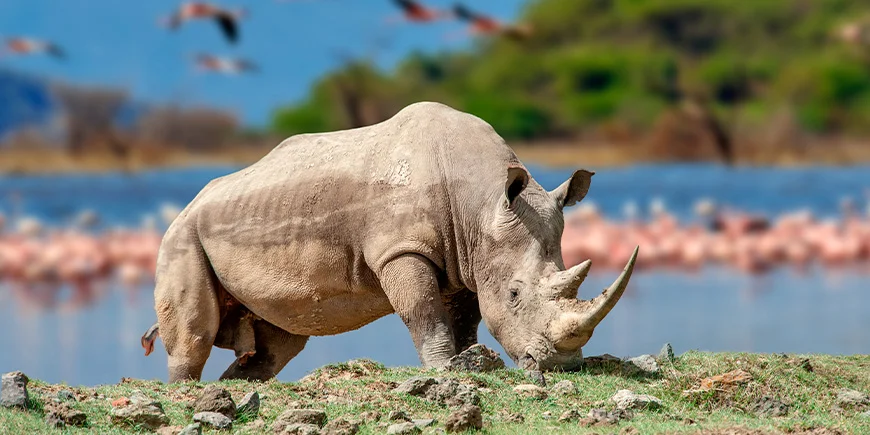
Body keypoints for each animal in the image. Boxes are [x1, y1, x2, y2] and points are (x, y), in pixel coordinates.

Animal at [141, 102, 638, 382]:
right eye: (515, 294)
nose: (560, 366)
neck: (481, 203)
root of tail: (190, 203)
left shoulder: (469, 261)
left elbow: (465, 319)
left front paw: (468, 361)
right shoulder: (400, 249)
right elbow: (424, 314)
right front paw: (443, 371)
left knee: (278, 344)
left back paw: (238, 386)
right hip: (181, 236)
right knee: (195, 335)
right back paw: (186, 391)